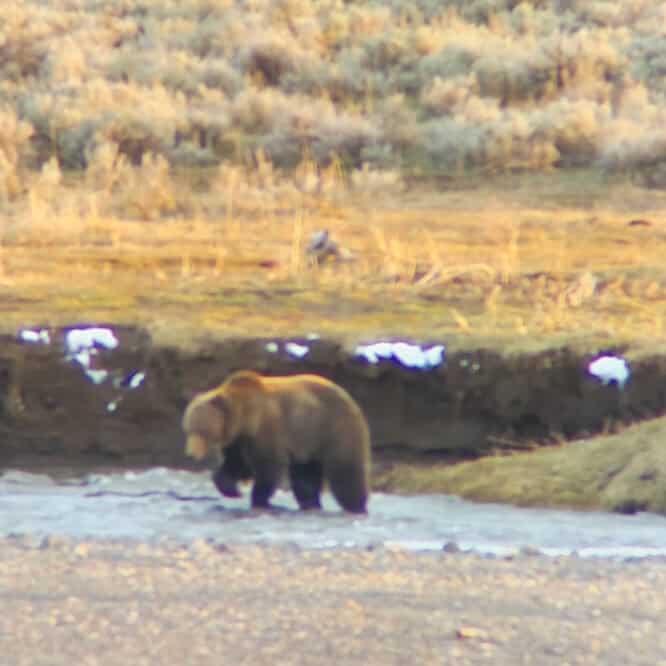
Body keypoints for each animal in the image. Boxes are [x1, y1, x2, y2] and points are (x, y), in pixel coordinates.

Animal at [182, 370, 371, 513]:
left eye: (202, 431)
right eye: (188, 429)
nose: (190, 454)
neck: (244, 418)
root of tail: (352, 401)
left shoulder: (267, 430)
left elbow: (268, 467)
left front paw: (259, 500)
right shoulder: (239, 440)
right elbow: (236, 464)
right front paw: (232, 489)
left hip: (333, 429)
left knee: (345, 470)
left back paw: (356, 506)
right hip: (307, 441)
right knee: (305, 476)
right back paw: (310, 503)